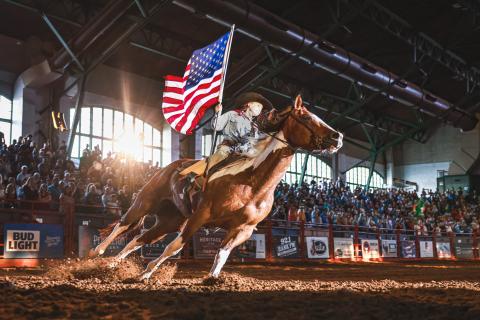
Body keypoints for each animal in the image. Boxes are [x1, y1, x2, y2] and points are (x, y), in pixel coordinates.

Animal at [90, 95, 344, 280]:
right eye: (307, 118)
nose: (338, 136)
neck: (252, 183)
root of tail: (169, 168)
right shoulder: (200, 216)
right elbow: (175, 247)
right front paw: (146, 272)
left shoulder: (243, 229)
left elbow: (222, 253)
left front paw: (211, 279)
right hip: (145, 202)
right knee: (123, 225)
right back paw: (96, 253)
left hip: (170, 220)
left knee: (138, 240)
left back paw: (112, 265)